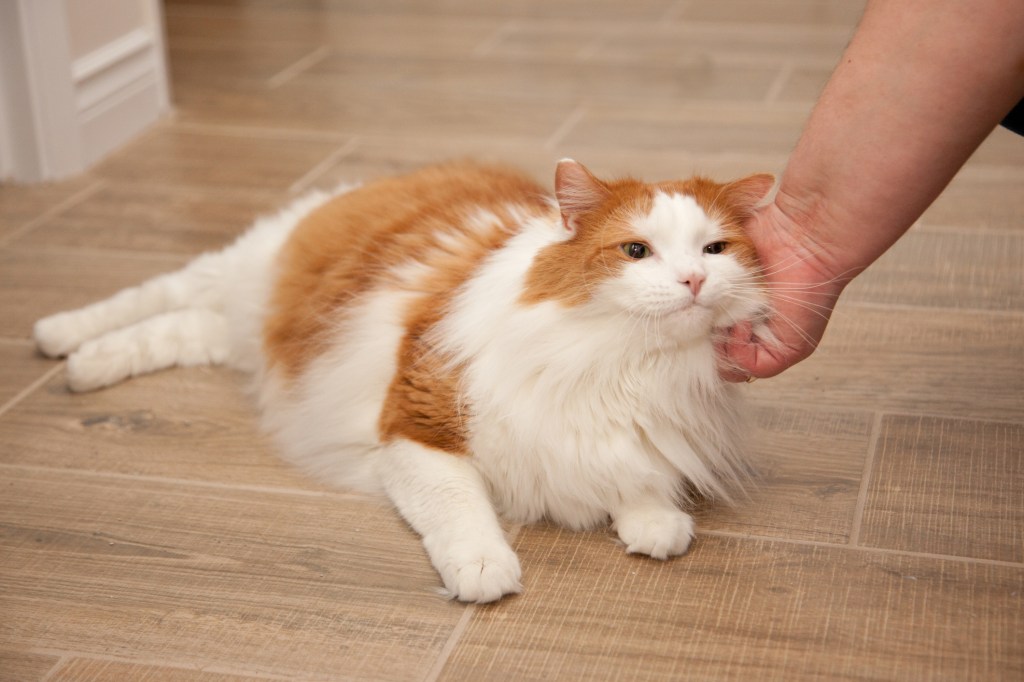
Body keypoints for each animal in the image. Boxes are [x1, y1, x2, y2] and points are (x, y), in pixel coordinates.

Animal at [34, 157, 774, 602]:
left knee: (180, 327)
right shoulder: (418, 425)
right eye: (635, 251)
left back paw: (90, 361)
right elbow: (459, 508)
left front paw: (654, 522)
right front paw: (483, 568)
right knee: (155, 294)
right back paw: (62, 339)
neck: (623, 359)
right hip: (240, 272)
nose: (694, 279)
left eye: (715, 249)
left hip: (240, 329)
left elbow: (638, 477)